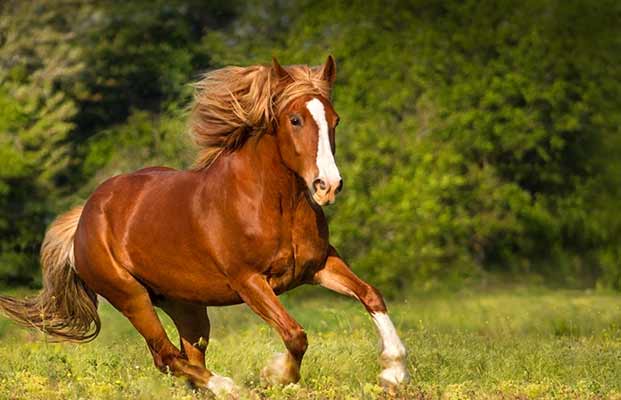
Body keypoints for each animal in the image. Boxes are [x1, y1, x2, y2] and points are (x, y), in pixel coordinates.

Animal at [0, 56, 410, 396]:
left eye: (334, 119)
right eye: (295, 120)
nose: (328, 186)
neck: (272, 205)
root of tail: (85, 216)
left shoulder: (319, 265)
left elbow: (371, 295)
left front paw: (393, 373)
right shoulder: (249, 281)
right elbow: (295, 335)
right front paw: (275, 374)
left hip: (186, 305)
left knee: (188, 356)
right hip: (131, 297)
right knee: (167, 356)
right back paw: (228, 385)